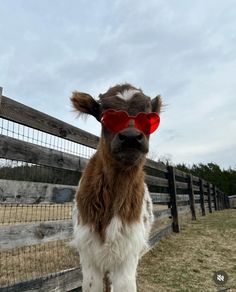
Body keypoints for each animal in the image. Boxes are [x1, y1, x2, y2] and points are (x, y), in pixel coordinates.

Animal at [71, 83, 161, 290]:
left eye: (148, 117)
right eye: (105, 115)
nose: (130, 137)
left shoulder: (129, 250)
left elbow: (124, 285)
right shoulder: (87, 249)